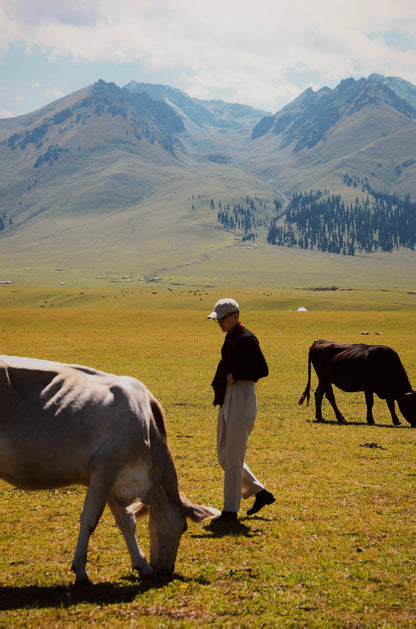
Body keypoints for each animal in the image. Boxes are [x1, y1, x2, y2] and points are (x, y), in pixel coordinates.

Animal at [0, 354, 219, 584]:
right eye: (184, 527)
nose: (167, 570)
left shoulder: (116, 479)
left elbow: (126, 522)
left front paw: (142, 564)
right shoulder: (105, 469)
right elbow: (89, 520)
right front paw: (81, 570)